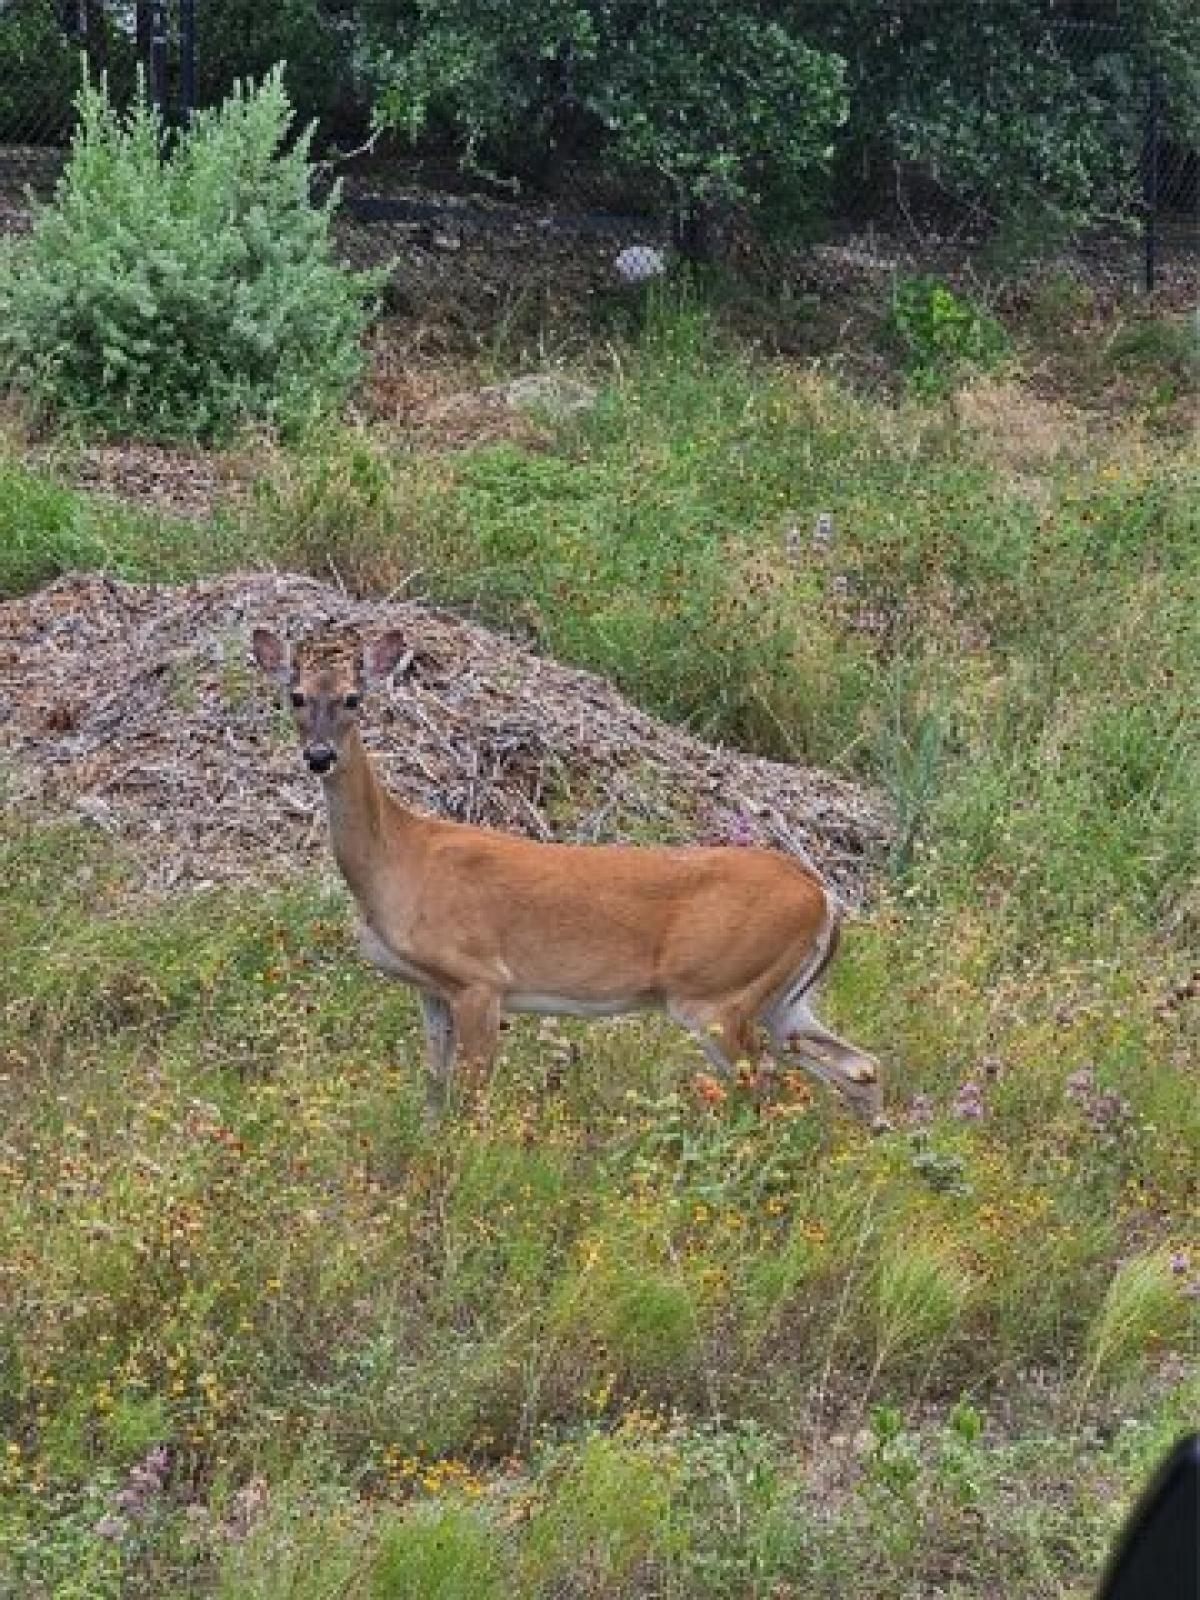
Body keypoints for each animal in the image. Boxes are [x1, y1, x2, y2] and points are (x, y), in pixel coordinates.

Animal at [254, 627, 883, 1126]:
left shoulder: (481, 977)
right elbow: (433, 1091)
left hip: (717, 989)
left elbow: (472, 1098)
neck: (399, 861)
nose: (318, 756)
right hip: (782, 999)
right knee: (859, 1065)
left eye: (353, 698)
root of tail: (822, 896)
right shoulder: (430, 988)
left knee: (766, 1088)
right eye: (296, 696)